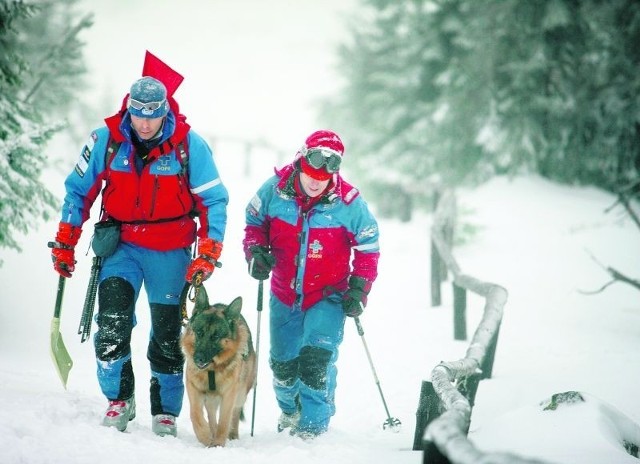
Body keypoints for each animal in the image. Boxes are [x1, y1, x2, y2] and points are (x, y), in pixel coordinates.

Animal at [181, 288, 256, 448]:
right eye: (199, 332)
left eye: (215, 337)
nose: (199, 358)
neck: (212, 370)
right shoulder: (194, 389)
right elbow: (195, 414)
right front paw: (205, 436)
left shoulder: (229, 394)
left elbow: (224, 420)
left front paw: (218, 444)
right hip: (211, 398)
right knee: (211, 414)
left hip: (240, 393)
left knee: (235, 413)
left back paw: (232, 435)